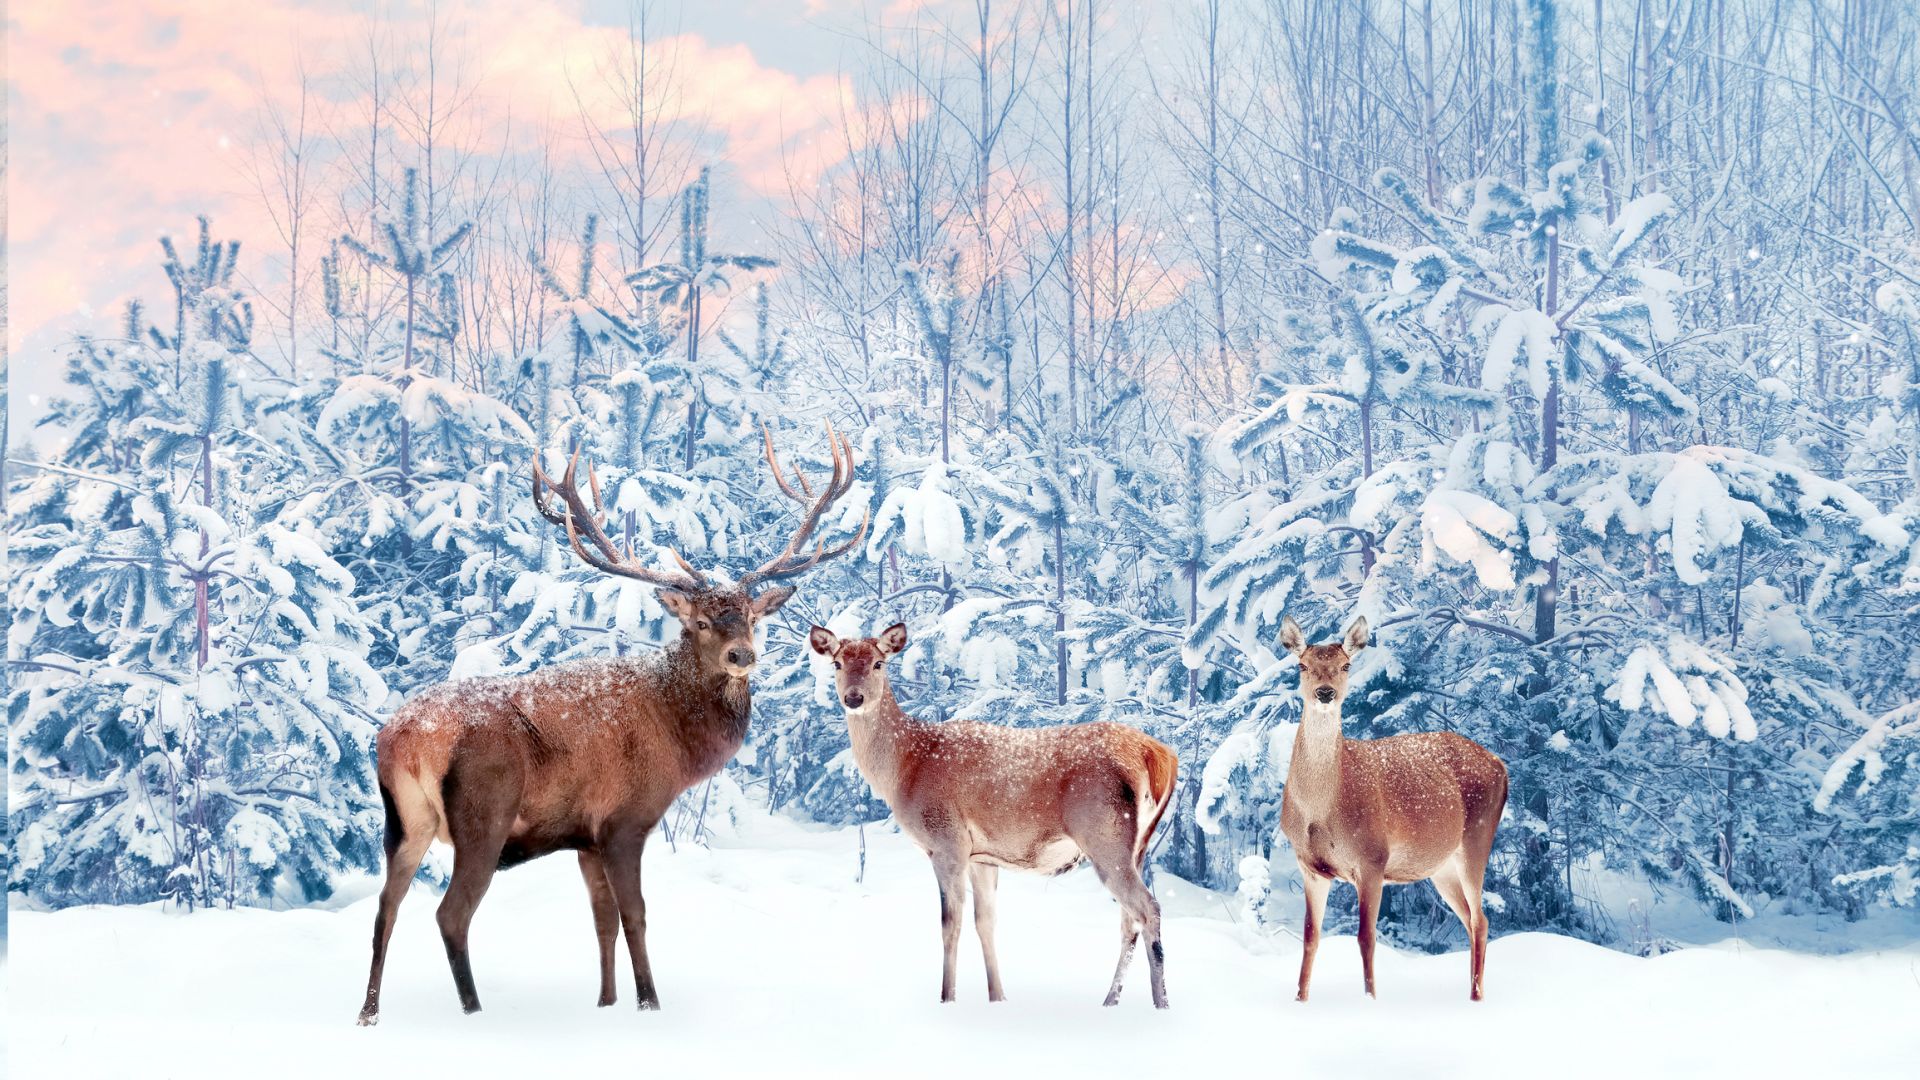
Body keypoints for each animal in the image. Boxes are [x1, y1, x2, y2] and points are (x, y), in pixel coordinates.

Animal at [357, 424, 867, 1022]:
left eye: (749, 616)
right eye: (699, 622)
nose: (742, 655)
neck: (678, 741)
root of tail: (402, 740)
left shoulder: (584, 836)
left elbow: (601, 920)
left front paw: (605, 1003)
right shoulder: (625, 821)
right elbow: (635, 916)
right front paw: (648, 1003)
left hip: (403, 824)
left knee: (385, 908)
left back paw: (368, 1012)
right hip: (484, 814)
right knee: (450, 914)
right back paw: (474, 1010)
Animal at [806, 618, 1175, 1006]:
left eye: (879, 663)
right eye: (837, 663)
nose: (854, 698)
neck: (907, 766)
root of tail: (1160, 755)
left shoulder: (947, 841)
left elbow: (950, 925)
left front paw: (947, 998)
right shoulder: (982, 856)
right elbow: (986, 923)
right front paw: (998, 998)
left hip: (1105, 835)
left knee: (1147, 909)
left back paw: (1159, 1004)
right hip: (1136, 846)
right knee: (1128, 920)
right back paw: (1110, 1001)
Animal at [1282, 614, 1505, 999]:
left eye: (1346, 665)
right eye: (1302, 665)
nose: (1325, 692)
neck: (1321, 810)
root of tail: (1502, 765)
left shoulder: (1372, 858)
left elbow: (1366, 939)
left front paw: (1370, 999)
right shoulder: (1310, 866)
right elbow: (1310, 938)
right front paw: (1299, 999)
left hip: (1478, 838)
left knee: (1480, 919)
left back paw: (1477, 997)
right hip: (1441, 866)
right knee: (1470, 918)